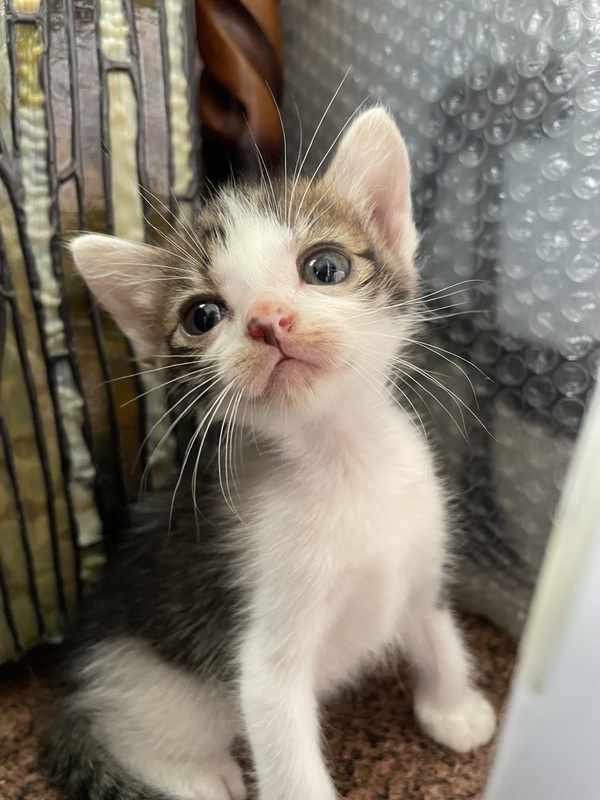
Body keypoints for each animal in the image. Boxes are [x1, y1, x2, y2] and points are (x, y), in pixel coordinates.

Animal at [41, 107, 496, 800]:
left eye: (325, 268)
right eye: (202, 315)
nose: (267, 318)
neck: (346, 463)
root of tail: (73, 695)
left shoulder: (420, 556)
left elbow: (435, 625)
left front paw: (453, 706)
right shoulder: (264, 659)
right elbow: (286, 754)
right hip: (156, 686)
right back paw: (196, 775)